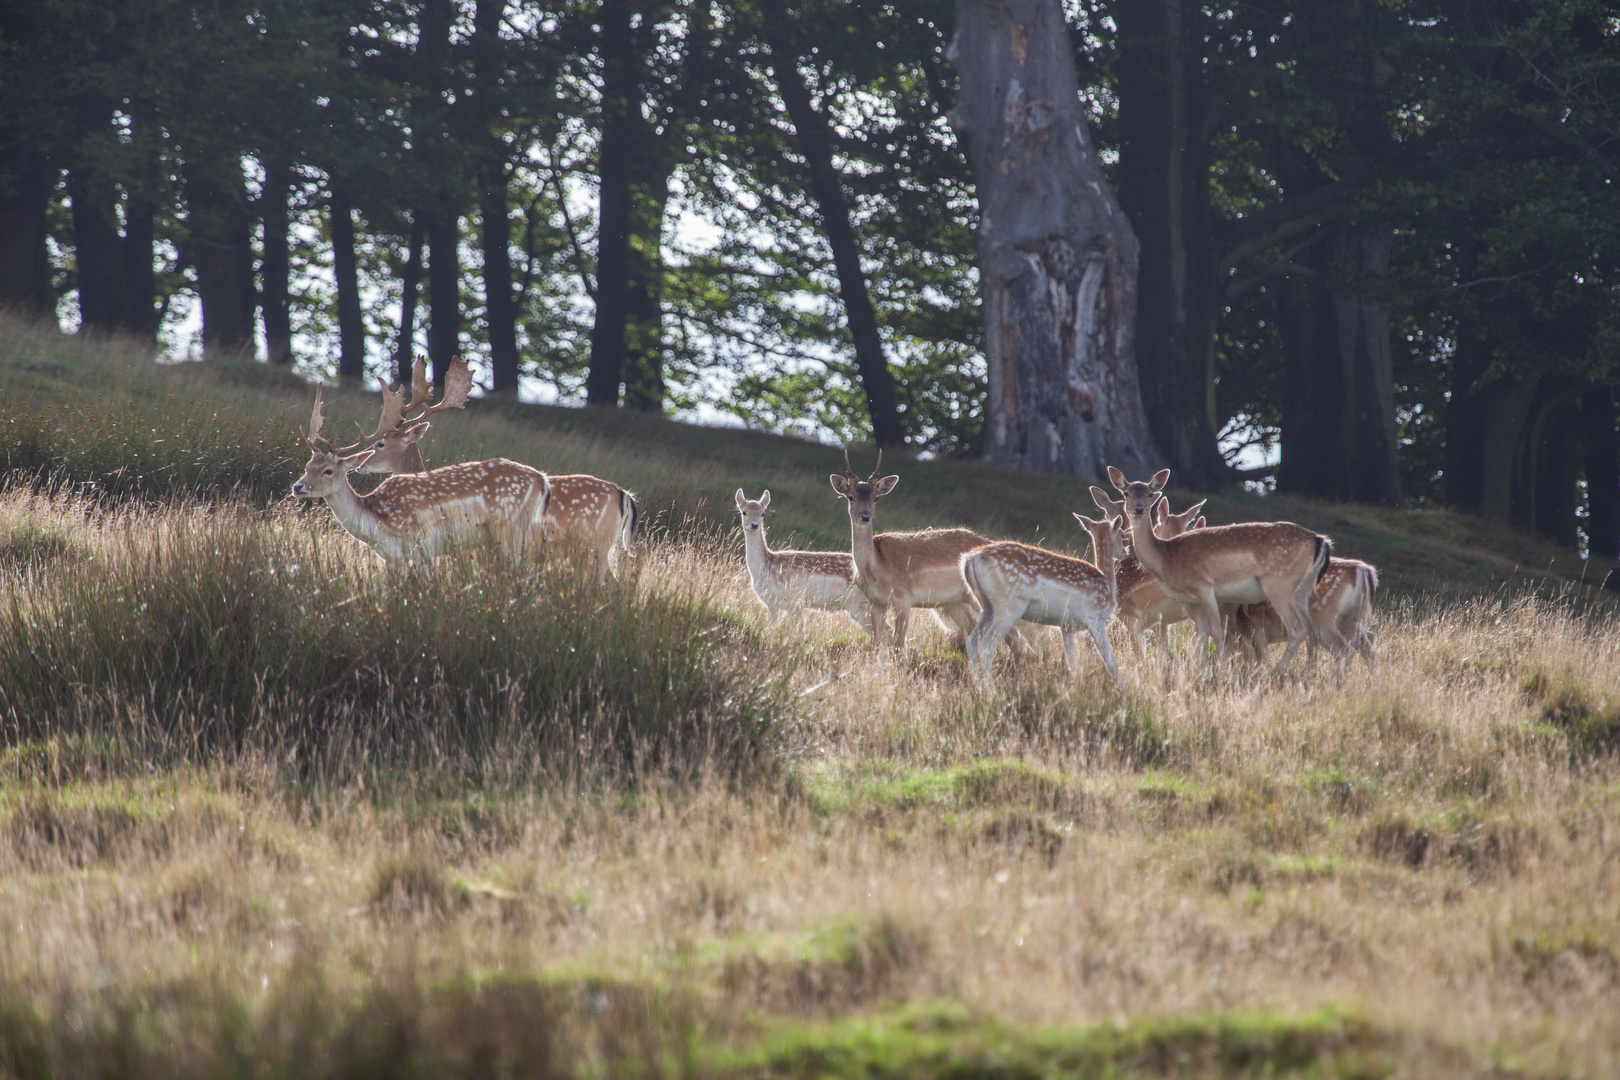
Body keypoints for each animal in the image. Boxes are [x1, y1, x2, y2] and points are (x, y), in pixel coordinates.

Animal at [288, 388, 547, 573]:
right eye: (307, 467)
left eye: (328, 471)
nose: (297, 487)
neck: (378, 521)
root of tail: (541, 479)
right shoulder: (391, 558)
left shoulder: (421, 544)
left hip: (509, 527)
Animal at [741, 488, 881, 634]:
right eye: (744, 512)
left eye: (763, 513)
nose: (754, 525)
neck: (765, 568)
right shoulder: (772, 604)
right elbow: (769, 629)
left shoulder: (794, 600)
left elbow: (800, 631)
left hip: (859, 605)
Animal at [959, 508, 1127, 693]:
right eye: (1122, 534)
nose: (1126, 551)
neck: (1107, 586)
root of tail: (970, 559)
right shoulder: (1095, 618)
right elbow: (1110, 661)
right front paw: (1125, 690)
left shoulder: (1066, 626)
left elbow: (1074, 665)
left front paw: (1073, 690)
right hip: (1008, 606)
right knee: (986, 647)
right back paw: (991, 692)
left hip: (987, 606)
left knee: (972, 642)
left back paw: (978, 688)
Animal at [1108, 466, 1334, 676]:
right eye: (1126, 493)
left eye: (1149, 493)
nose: (1138, 509)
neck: (1165, 559)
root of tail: (1321, 541)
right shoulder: (1190, 601)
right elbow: (1202, 634)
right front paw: (1202, 674)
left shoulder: (1204, 587)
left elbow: (1216, 632)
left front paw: (1222, 672)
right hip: (1302, 589)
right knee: (1311, 632)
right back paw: (1310, 673)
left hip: (1279, 584)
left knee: (1298, 630)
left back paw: (1276, 672)